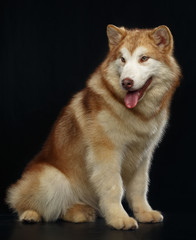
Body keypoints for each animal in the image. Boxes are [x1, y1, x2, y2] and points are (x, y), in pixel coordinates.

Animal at [5, 24, 181, 231]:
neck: (135, 113)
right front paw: (119, 218)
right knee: (33, 205)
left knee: (62, 210)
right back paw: (30, 214)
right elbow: (114, 187)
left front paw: (144, 213)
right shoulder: (106, 154)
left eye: (144, 58)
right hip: (51, 178)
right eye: (122, 59)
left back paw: (80, 212)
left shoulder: (143, 156)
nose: (126, 82)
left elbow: (139, 187)